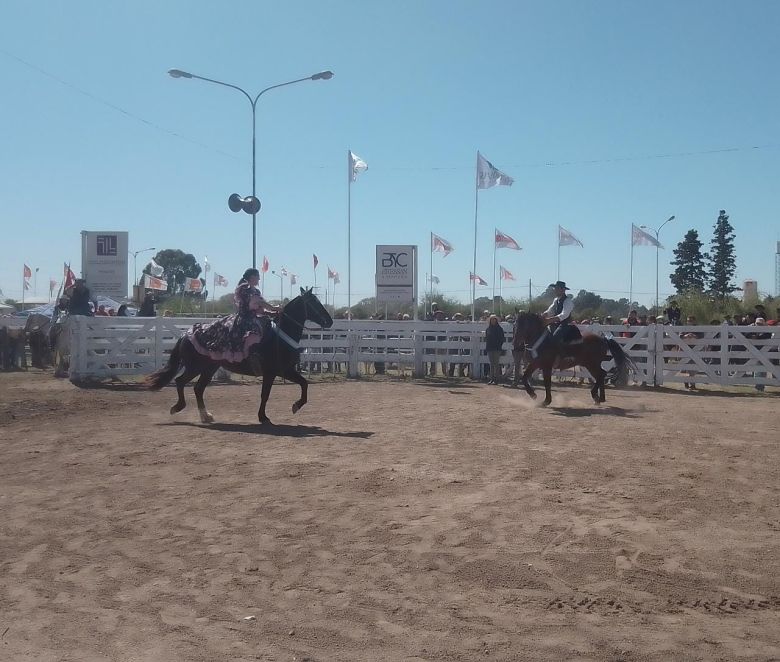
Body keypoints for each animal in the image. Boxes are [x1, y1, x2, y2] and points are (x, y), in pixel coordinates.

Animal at [146, 290, 332, 426]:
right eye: (314, 302)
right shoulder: (272, 372)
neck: (280, 336)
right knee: (180, 382)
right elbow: (265, 394)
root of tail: (186, 334)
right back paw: (178, 407)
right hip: (195, 367)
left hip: (209, 368)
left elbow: (304, 384)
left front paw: (296, 406)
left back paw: (206, 416)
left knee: (198, 389)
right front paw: (264, 417)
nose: (329, 321)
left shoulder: (285, 370)